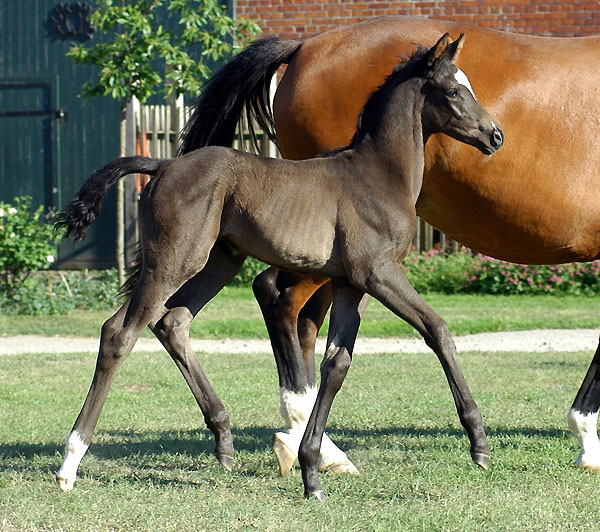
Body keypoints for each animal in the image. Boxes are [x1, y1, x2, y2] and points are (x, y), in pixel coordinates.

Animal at [56, 34, 504, 498]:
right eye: (452, 91)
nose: (495, 135)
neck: (378, 174)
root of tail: (161, 164)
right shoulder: (378, 273)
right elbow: (438, 331)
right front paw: (479, 444)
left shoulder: (350, 284)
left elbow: (336, 364)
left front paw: (311, 470)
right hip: (173, 261)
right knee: (119, 333)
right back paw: (71, 461)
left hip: (219, 262)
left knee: (172, 322)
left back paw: (224, 440)